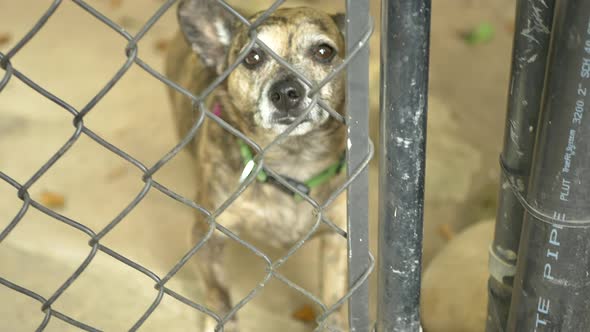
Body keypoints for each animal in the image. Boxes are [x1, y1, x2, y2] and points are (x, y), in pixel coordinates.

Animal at [166, 1, 350, 330]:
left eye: (323, 52)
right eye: (253, 58)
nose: (286, 93)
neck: (292, 162)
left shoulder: (336, 240)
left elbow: (334, 302)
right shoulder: (206, 236)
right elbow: (219, 296)